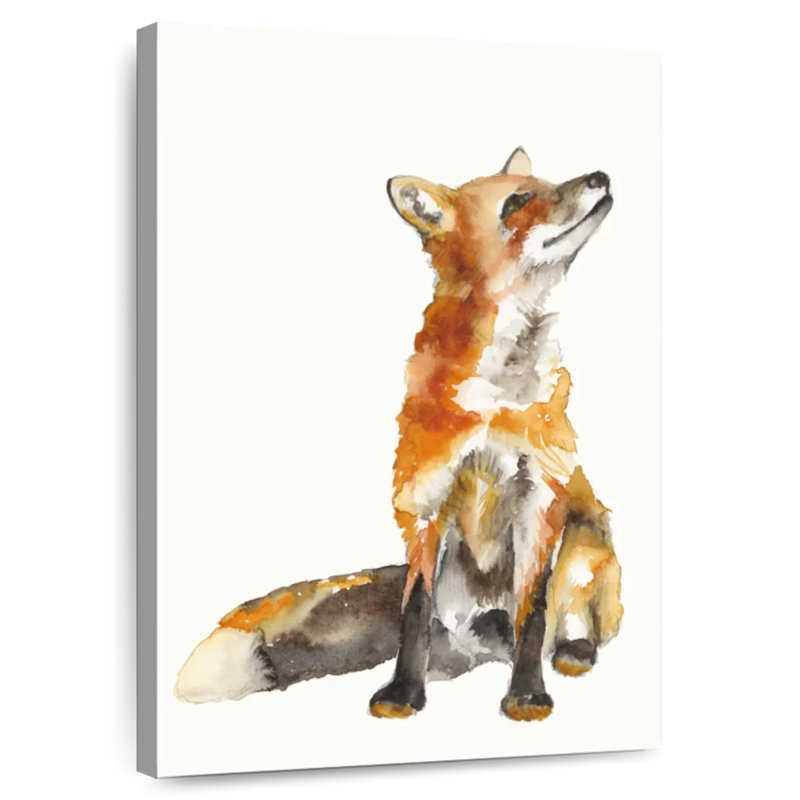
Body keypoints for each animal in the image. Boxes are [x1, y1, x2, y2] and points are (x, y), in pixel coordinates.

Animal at [174, 147, 623, 721]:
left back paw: (572, 650)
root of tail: (479, 647)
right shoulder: (424, 498)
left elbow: (535, 610)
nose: (600, 176)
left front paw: (526, 694)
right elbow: (414, 610)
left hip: (588, 543)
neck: (495, 398)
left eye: (549, 184)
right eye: (519, 201)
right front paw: (403, 692)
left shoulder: (539, 494)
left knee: (563, 620)